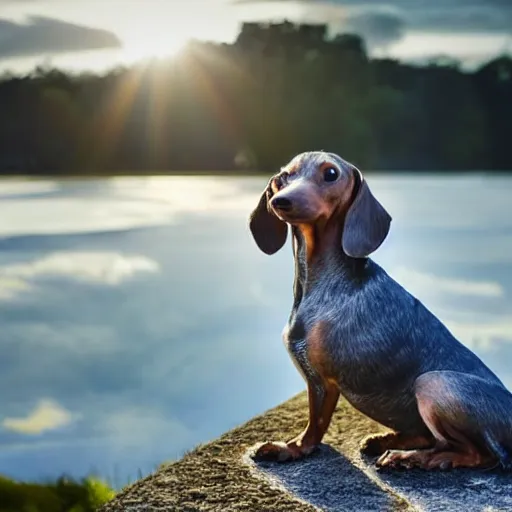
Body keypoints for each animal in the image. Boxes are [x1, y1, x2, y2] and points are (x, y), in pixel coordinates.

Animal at [248, 150, 512, 470]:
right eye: (285, 176)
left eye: (331, 173)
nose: (280, 201)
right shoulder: (315, 378)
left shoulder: (323, 381)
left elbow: (315, 426)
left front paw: (291, 448)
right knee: (432, 438)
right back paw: (390, 442)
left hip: (433, 382)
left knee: (478, 454)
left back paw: (416, 458)